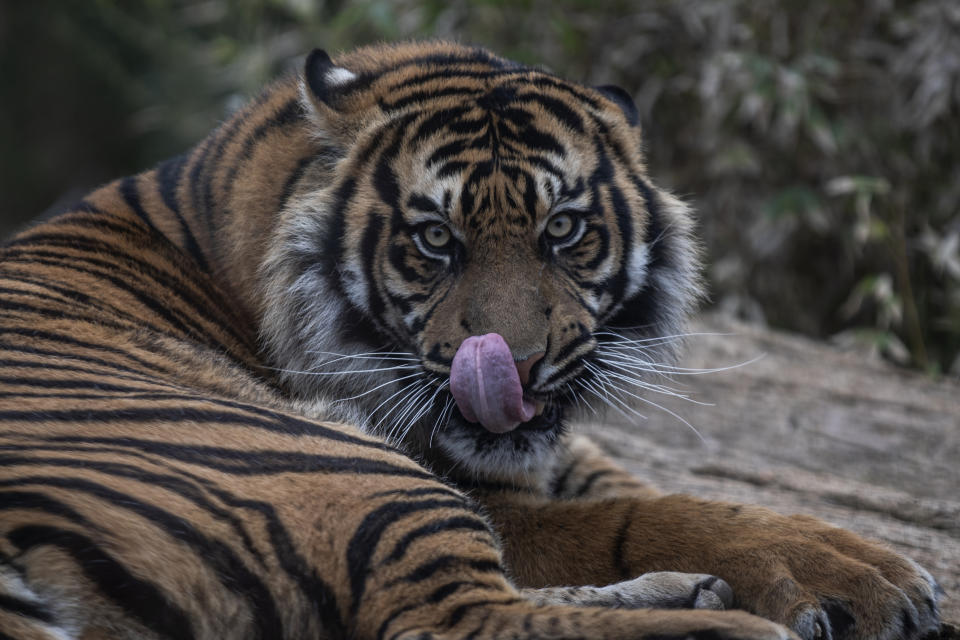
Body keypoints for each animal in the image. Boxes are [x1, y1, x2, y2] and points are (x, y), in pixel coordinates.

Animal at [0, 41, 944, 640]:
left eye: (563, 230)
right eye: (434, 240)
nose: (513, 368)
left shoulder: (546, 450)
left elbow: (645, 489)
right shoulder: (476, 486)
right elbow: (647, 513)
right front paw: (862, 578)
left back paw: (694, 599)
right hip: (342, 467)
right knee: (462, 620)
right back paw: (726, 626)